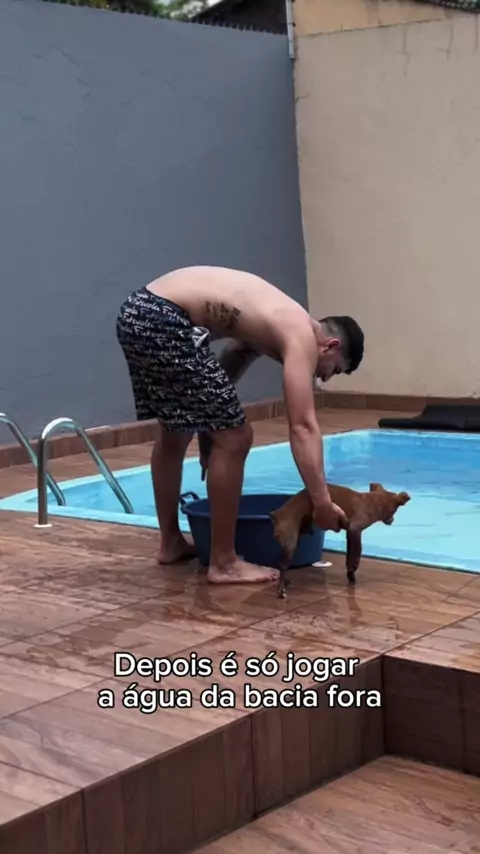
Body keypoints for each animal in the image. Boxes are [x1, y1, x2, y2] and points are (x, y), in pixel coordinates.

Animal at [269, 483, 411, 597]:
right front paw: (353, 569)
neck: (372, 502)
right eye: (394, 512)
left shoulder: (350, 534)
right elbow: (357, 553)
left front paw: (350, 573)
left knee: (283, 563)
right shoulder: (355, 530)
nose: (392, 521)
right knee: (282, 565)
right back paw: (281, 588)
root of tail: (277, 515)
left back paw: (286, 581)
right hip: (290, 542)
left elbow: (349, 556)